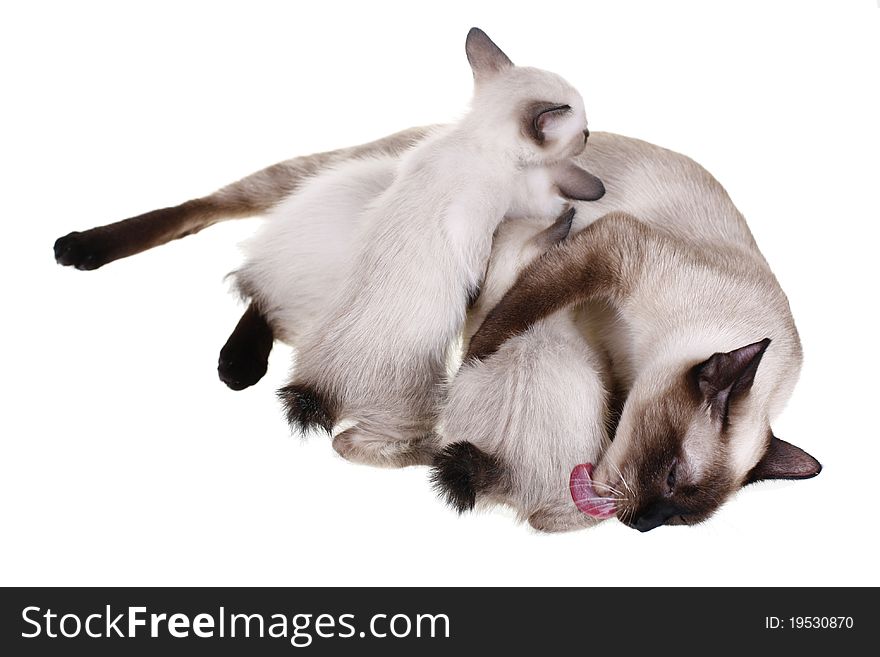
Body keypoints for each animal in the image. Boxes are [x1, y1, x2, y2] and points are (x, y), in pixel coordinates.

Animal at [464, 132, 820, 528]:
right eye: (671, 476)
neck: (633, 356)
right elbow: (520, 307)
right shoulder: (612, 250)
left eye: (677, 518)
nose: (640, 524)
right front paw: (472, 362)